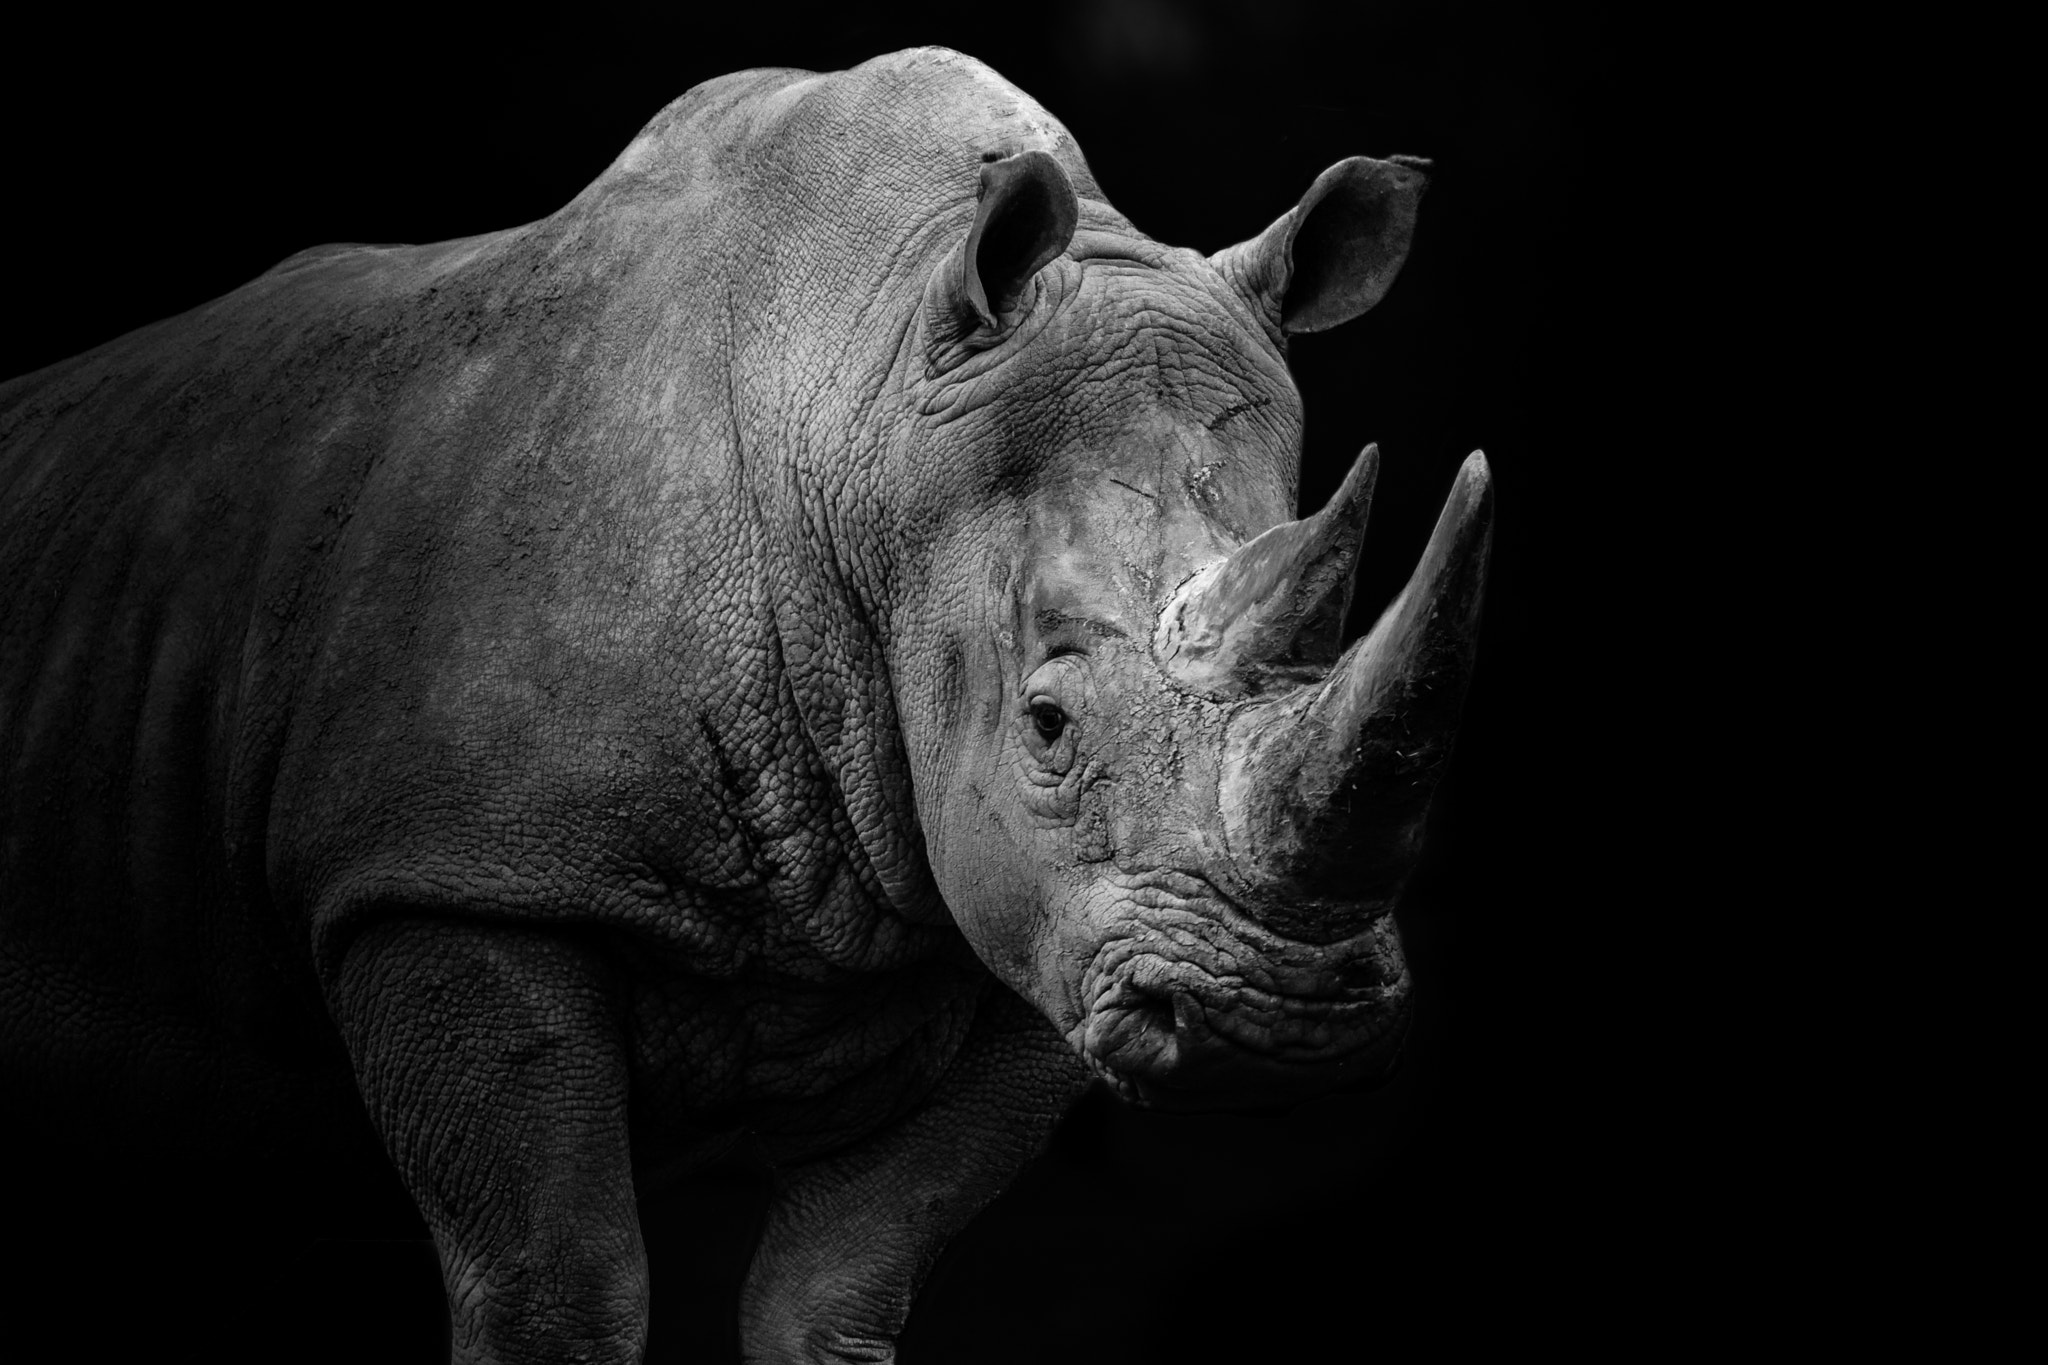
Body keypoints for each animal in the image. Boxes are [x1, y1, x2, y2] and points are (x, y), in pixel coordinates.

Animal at [0, 46, 1490, 1363]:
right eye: (1048, 722)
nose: (1280, 1021)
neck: (866, 411)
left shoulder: (1024, 929)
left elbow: (836, 1291)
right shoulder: (453, 875)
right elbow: (553, 1291)